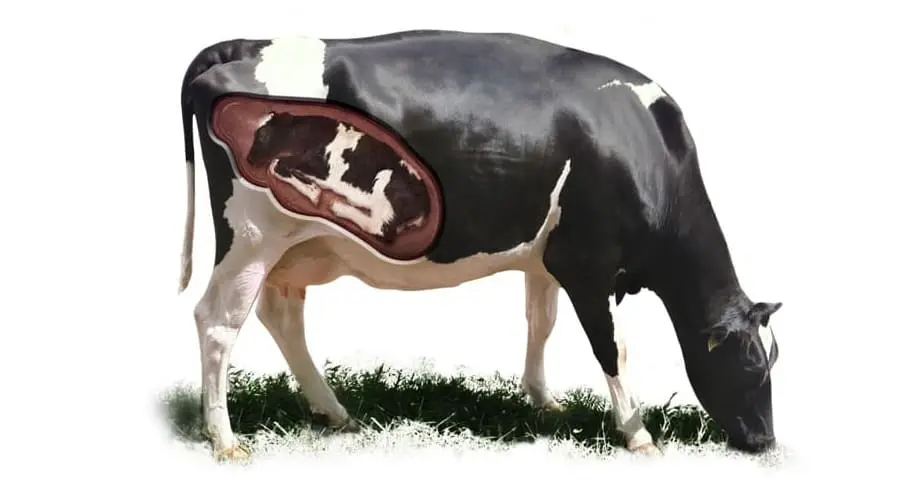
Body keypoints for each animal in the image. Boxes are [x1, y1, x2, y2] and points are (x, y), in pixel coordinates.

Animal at [178, 29, 783, 462]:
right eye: (752, 366)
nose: (766, 443)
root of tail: (246, 44)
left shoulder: (545, 258)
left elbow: (541, 323)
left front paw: (544, 401)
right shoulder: (587, 264)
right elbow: (612, 348)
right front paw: (638, 434)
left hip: (296, 247)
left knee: (281, 317)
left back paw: (335, 413)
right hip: (251, 236)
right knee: (217, 322)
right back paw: (224, 439)